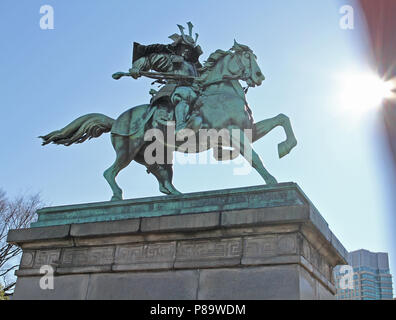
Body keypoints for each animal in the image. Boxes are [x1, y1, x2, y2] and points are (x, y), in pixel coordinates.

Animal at [40, 40, 296, 200]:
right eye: (246, 56)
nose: (259, 76)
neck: (221, 91)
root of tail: (116, 120)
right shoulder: (233, 132)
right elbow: (255, 158)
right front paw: (272, 180)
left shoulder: (249, 129)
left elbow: (282, 118)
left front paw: (285, 147)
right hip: (128, 149)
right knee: (109, 173)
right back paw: (117, 196)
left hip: (154, 154)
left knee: (162, 179)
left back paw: (177, 195)